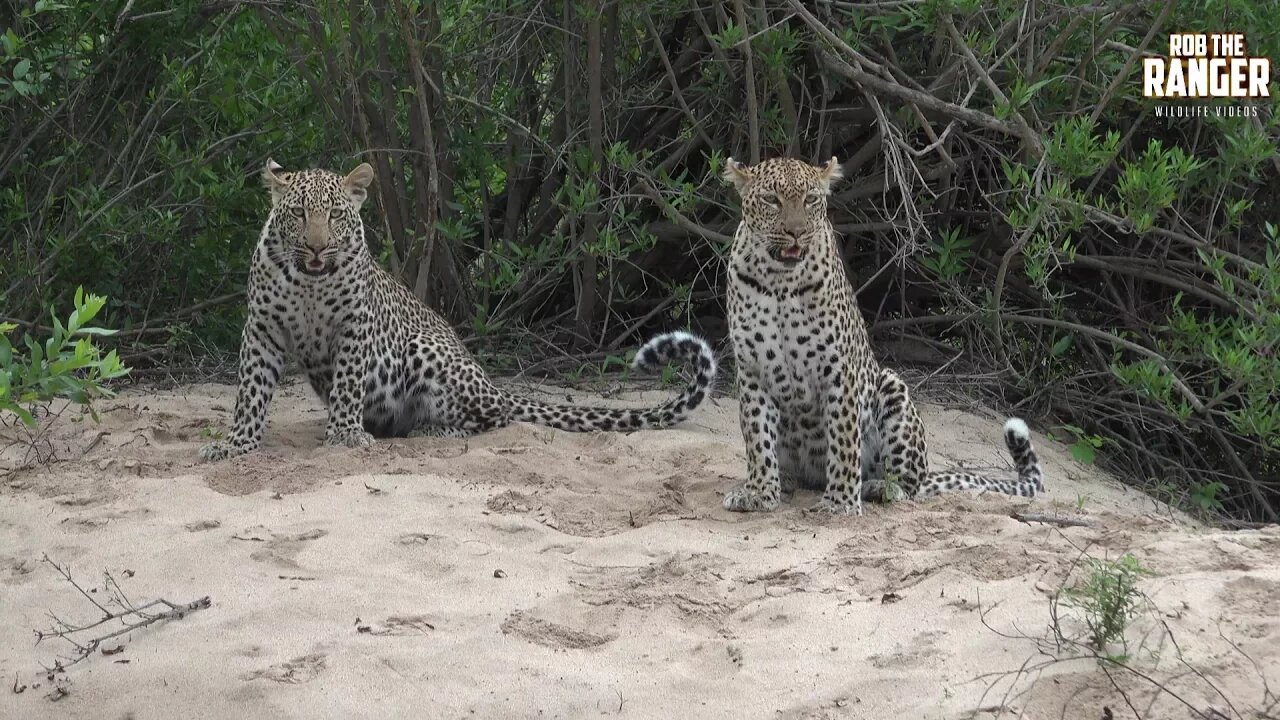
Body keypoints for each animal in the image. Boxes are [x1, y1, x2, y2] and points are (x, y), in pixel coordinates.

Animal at [200, 158, 721, 458]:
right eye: (298, 214)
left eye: (334, 215)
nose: (315, 247)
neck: (308, 281)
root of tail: (494, 385)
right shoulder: (262, 329)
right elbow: (250, 391)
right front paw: (236, 444)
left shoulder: (355, 325)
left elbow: (347, 384)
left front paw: (346, 435)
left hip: (424, 349)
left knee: (493, 420)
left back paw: (426, 433)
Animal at [721, 155, 1039, 512]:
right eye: (771, 200)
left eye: (811, 200)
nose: (797, 233)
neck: (780, 282)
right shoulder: (753, 370)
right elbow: (758, 437)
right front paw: (759, 491)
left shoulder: (839, 369)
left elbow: (844, 440)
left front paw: (841, 502)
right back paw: (786, 480)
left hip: (892, 389)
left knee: (907, 482)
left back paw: (878, 487)